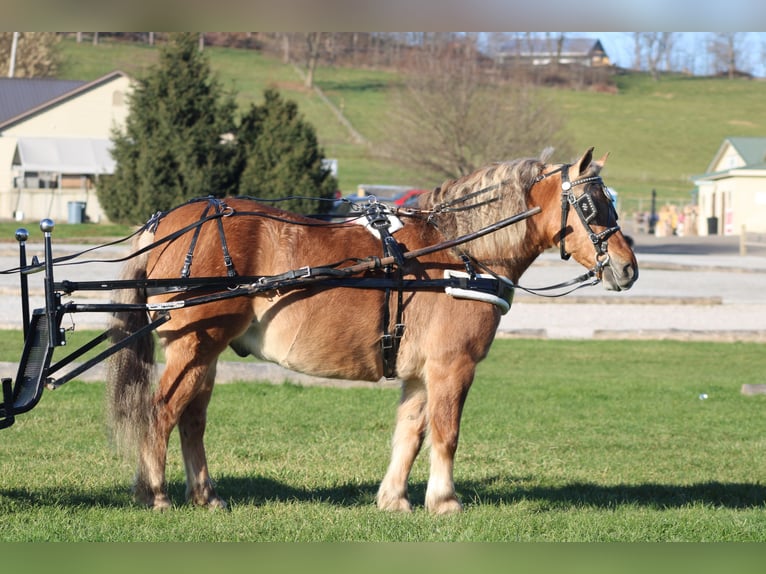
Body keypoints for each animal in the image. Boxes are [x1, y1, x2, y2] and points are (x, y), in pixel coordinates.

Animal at [106, 147, 638, 514]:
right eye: (591, 206)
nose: (628, 269)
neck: (455, 251)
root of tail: (168, 222)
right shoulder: (452, 366)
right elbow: (446, 433)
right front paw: (445, 500)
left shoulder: (421, 373)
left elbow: (410, 433)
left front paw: (394, 499)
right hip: (193, 348)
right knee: (160, 412)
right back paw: (156, 494)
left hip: (204, 352)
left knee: (191, 420)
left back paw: (206, 495)